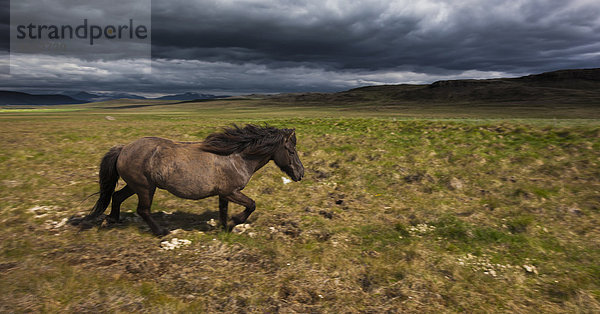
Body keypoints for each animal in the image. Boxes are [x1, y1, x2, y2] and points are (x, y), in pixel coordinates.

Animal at [83, 125, 304, 236]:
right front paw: (234, 222)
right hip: (145, 188)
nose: (300, 173)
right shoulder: (232, 192)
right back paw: (161, 231)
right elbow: (251, 205)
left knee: (117, 197)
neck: (237, 157)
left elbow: (223, 211)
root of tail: (124, 148)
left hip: (135, 185)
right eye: (291, 151)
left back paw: (110, 221)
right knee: (142, 210)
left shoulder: (224, 194)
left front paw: (225, 228)